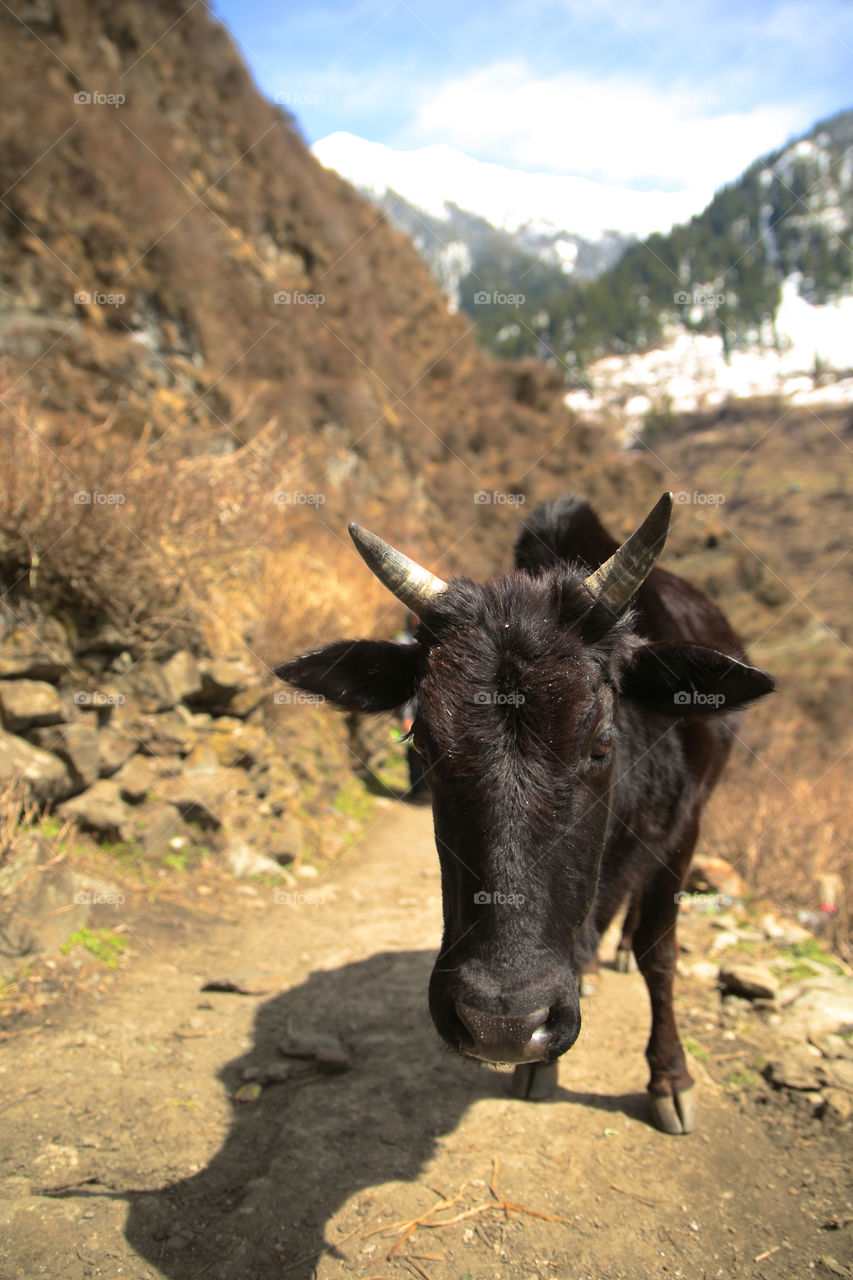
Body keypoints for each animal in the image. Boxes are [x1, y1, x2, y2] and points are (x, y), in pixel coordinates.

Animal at [275, 492, 773, 1134]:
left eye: (601, 743)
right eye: (423, 743)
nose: (503, 1024)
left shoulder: (685, 828)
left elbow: (660, 954)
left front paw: (670, 1078)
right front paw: (543, 1063)